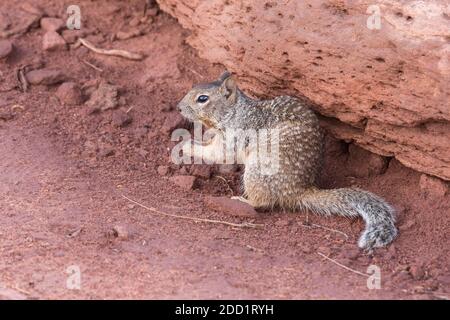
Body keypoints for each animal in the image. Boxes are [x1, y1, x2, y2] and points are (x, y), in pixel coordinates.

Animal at [178, 71, 400, 249]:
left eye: (202, 98)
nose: (178, 108)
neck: (235, 112)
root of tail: (300, 190)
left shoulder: (234, 136)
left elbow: (217, 153)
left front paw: (187, 146)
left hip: (258, 170)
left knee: (263, 202)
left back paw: (242, 200)